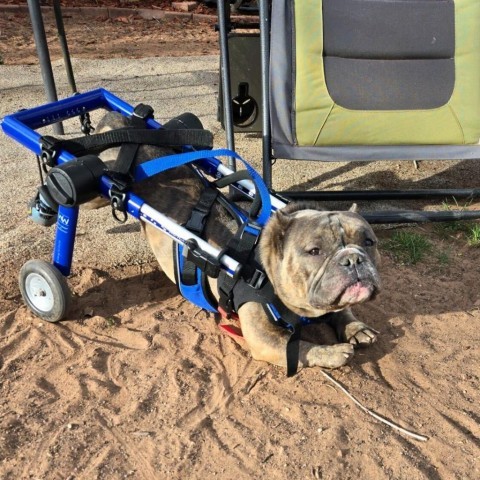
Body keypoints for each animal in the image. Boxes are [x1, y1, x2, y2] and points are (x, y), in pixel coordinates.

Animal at [90, 112, 380, 372]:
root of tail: (123, 123)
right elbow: (301, 348)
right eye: (315, 251)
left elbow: (341, 310)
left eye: (369, 242)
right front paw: (333, 352)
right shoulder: (265, 339)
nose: (353, 259)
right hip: (99, 185)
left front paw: (356, 327)